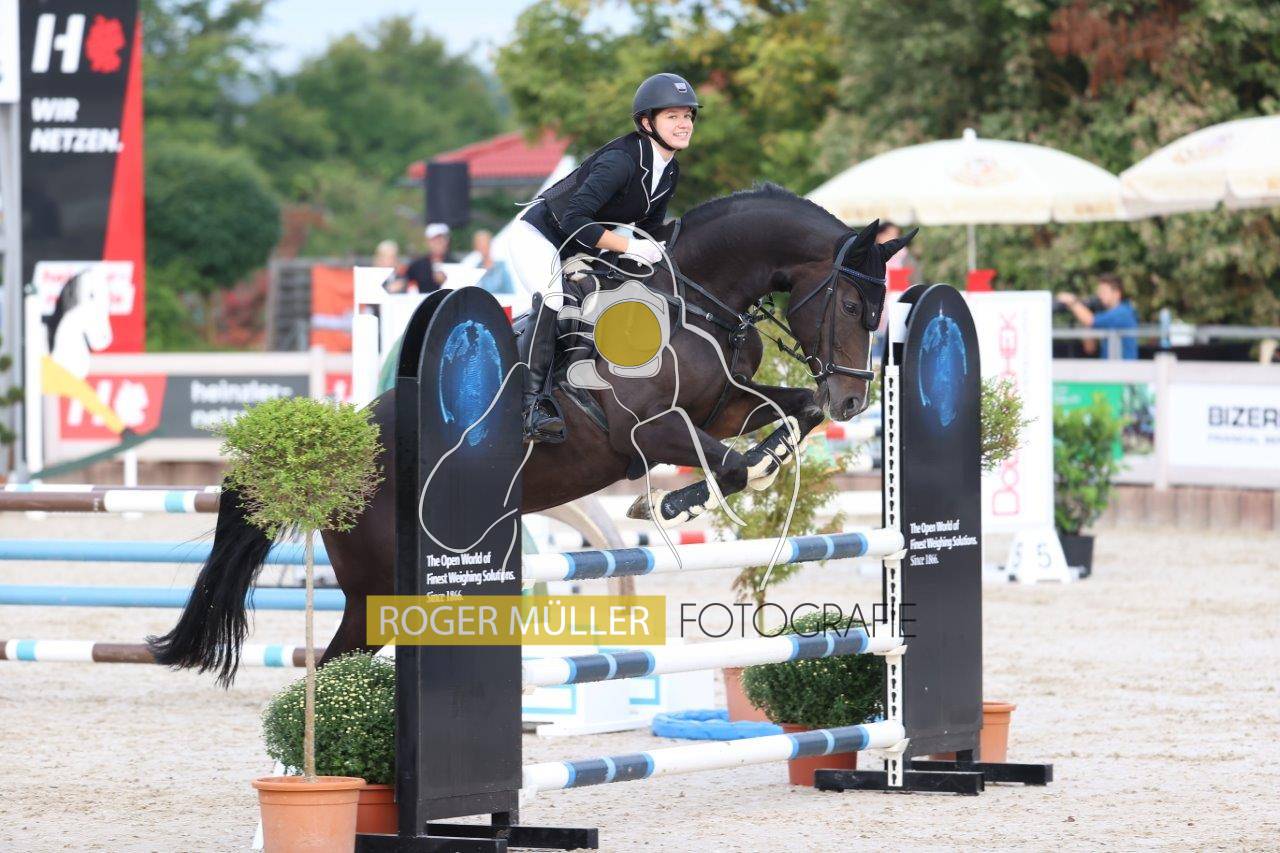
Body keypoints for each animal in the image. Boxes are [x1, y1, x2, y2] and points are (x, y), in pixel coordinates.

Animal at [147, 184, 916, 685]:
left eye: (882, 309)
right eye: (853, 304)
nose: (854, 397)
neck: (690, 298)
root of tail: (338, 451)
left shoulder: (724, 403)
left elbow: (788, 417)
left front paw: (762, 460)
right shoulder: (649, 429)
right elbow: (722, 464)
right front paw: (668, 503)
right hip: (379, 587)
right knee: (334, 665)